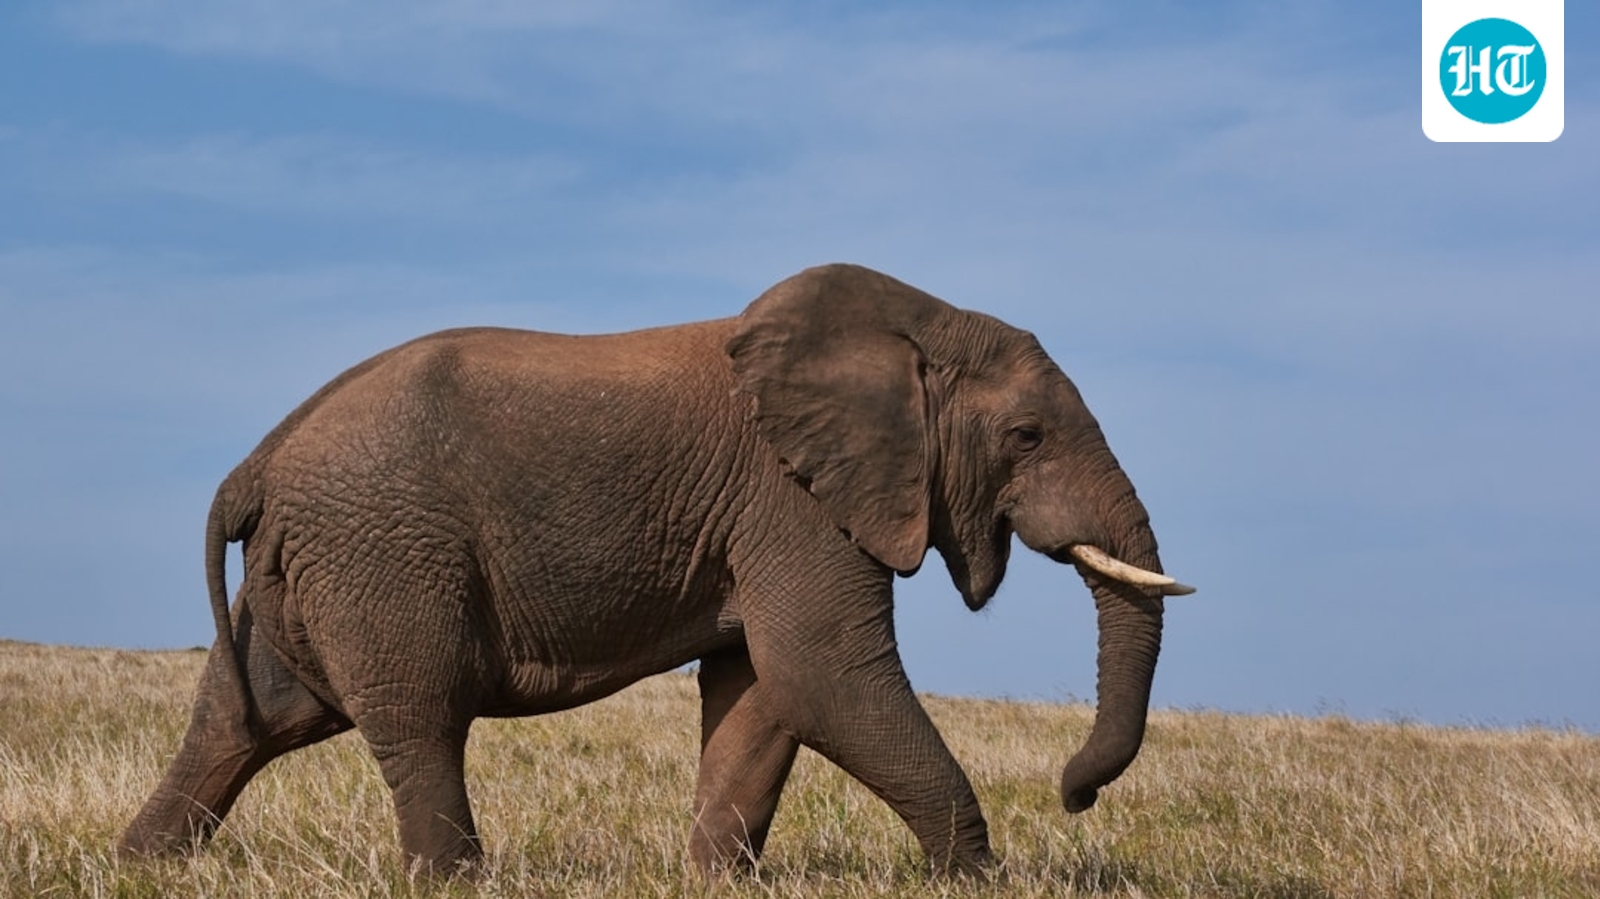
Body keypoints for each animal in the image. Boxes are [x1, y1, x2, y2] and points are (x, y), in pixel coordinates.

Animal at [120, 263, 1193, 877]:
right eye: (1027, 436)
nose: (1074, 795)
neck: (912, 324)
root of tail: (259, 462)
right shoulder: (791, 500)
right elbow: (825, 676)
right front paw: (972, 878)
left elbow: (763, 693)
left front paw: (714, 882)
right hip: (382, 552)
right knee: (419, 718)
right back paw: (453, 880)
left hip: (312, 570)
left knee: (246, 717)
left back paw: (143, 864)